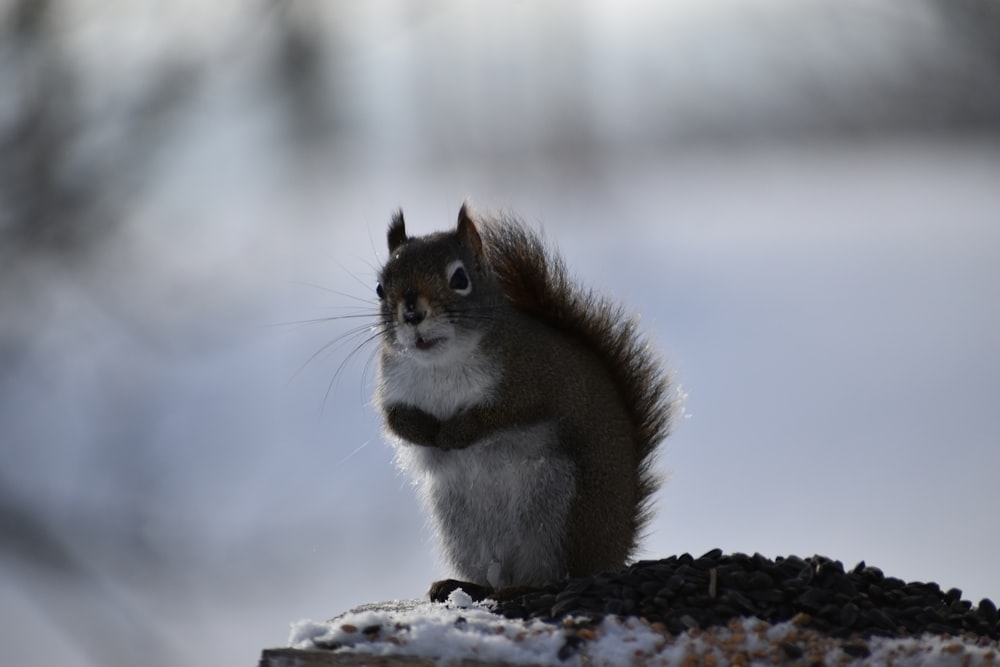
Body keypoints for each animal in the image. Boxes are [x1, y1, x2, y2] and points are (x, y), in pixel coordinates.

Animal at [376, 205, 680, 604]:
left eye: (459, 278)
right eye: (381, 287)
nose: (411, 314)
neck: (440, 364)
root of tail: (615, 550)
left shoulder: (533, 380)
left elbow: (503, 414)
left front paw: (455, 433)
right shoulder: (392, 387)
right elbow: (396, 421)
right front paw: (428, 433)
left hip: (562, 514)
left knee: (558, 575)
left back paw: (526, 586)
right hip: (460, 523)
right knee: (490, 577)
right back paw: (465, 585)